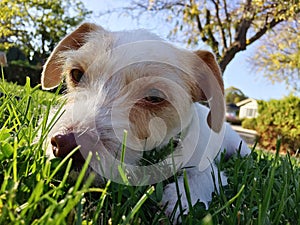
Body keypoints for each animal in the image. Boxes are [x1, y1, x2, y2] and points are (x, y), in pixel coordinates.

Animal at [41, 23, 250, 219]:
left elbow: (199, 180)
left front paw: (180, 202)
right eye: (76, 74)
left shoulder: (208, 171)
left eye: (154, 97)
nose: (65, 144)